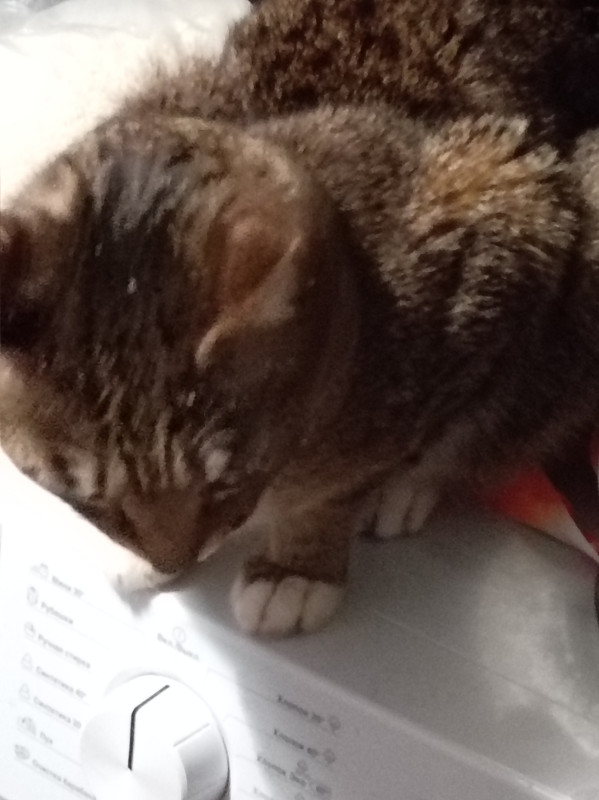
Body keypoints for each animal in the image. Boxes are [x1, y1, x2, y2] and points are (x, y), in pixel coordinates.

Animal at [1, 0, 599, 636]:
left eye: (225, 476)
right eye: (85, 498)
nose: (175, 559)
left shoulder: (512, 209)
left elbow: (357, 477)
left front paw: (298, 566)